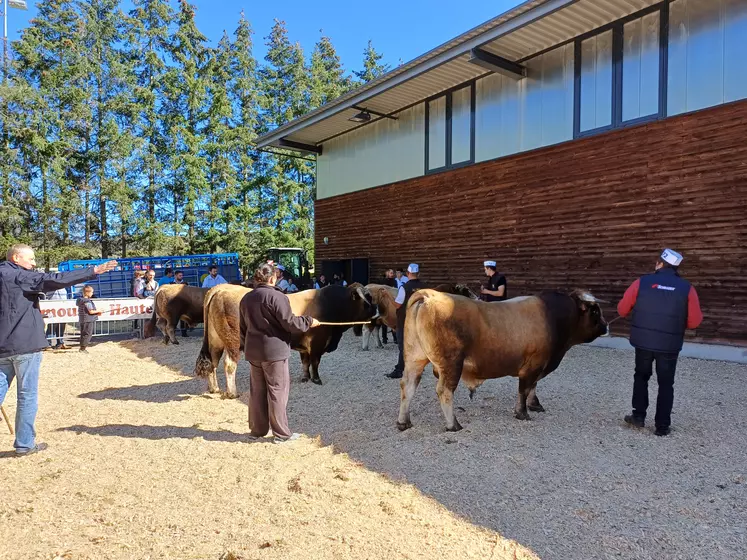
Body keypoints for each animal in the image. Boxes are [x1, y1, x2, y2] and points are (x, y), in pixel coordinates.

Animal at [194, 282, 376, 396]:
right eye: (367, 299)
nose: (377, 310)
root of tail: (221, 289)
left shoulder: (305, 347)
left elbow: (305, 363)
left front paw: (305, 378)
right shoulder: (317, 344)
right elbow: (315, 363)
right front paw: (316, 379)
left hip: (215, 342)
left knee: (213, 363)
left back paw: (215, 389)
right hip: (232, 343)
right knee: (229, 365)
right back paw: (232, 393)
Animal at [398, 288, 608, 434]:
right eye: (595, 312)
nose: (606, 326)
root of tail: (429, 295)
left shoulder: (538, 366)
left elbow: (533, 386)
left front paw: (535, 404)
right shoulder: (533, 365)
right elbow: (525, 389)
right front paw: (522, 412)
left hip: (414, 359)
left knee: (408, 386)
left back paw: (403, 422)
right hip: (451, 364)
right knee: (444, 391)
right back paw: (453, 425)